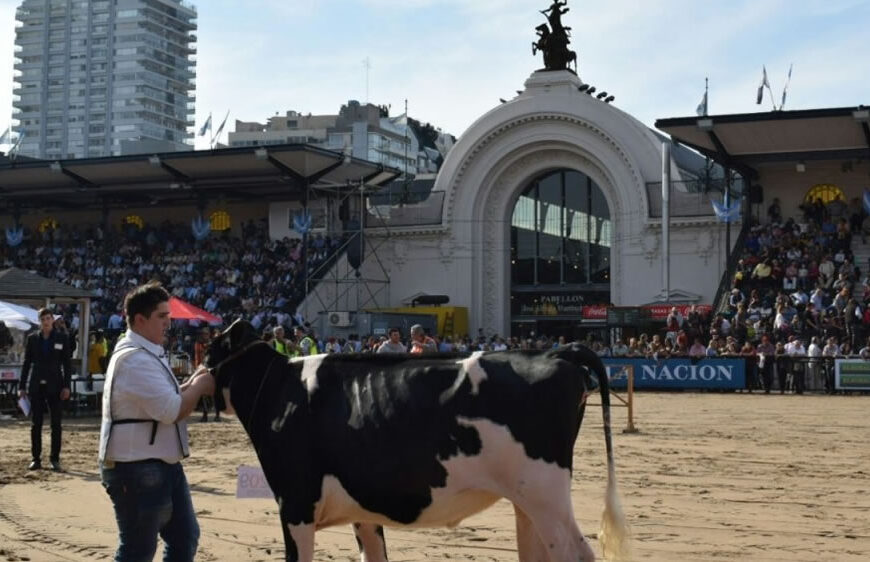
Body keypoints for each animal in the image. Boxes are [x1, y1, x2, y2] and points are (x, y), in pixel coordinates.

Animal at [208, 320, 632, 560]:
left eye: (210, 349)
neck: (278, 388)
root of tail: (556, 352)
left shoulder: (295, 503)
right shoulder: (362, 507)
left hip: (546, 495)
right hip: (528, 501)